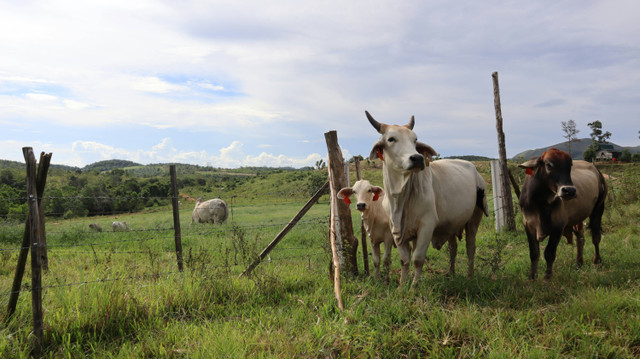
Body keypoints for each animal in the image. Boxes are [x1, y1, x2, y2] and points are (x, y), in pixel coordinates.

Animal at [368, 112, 488, 286]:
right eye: (391, 139)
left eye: (415, 139)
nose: (417, 158)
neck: (400, 199)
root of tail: (475, 172)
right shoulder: (397, 231)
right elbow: (405, 260)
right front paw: (402, 285)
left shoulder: (427, 226)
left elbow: (418, 259)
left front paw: (414, 286)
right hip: (451, 224)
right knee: (453, 248)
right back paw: (451, 274)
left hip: (474, 218)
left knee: (470, 247)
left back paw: (469, 276)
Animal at [516, 148, 608, 280]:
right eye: (549, 165)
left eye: (570, 165)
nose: (570, 191)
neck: (539, 201)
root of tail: (596, 170)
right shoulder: (528, 224)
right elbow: (534, 253)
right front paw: (532, 277)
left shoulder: (558, 226)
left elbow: (549, 253)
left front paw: (547, 277)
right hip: (578, 218)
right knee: (580, 238)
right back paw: (579, 262)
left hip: (598, 209)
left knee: (596, 237)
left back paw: (597, 261)